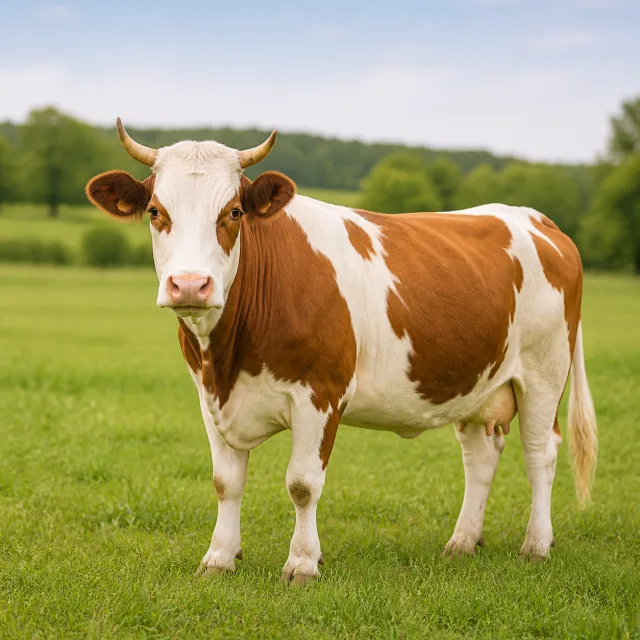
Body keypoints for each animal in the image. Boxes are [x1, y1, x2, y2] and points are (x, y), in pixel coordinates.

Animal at [85, 120, 598, 584]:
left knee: (540, 453)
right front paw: (218, 559)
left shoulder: (320, 394)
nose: (190, 285)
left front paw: (302, 563)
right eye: (155, 211)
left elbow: (302, 484)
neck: (229, 358)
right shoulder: (210, 397)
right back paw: (462, 542)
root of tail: (537, 219)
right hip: (476, 384)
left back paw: (536, 545)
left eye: (232, 212)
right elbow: (225, 482)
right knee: (481, 456)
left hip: (545, 372)